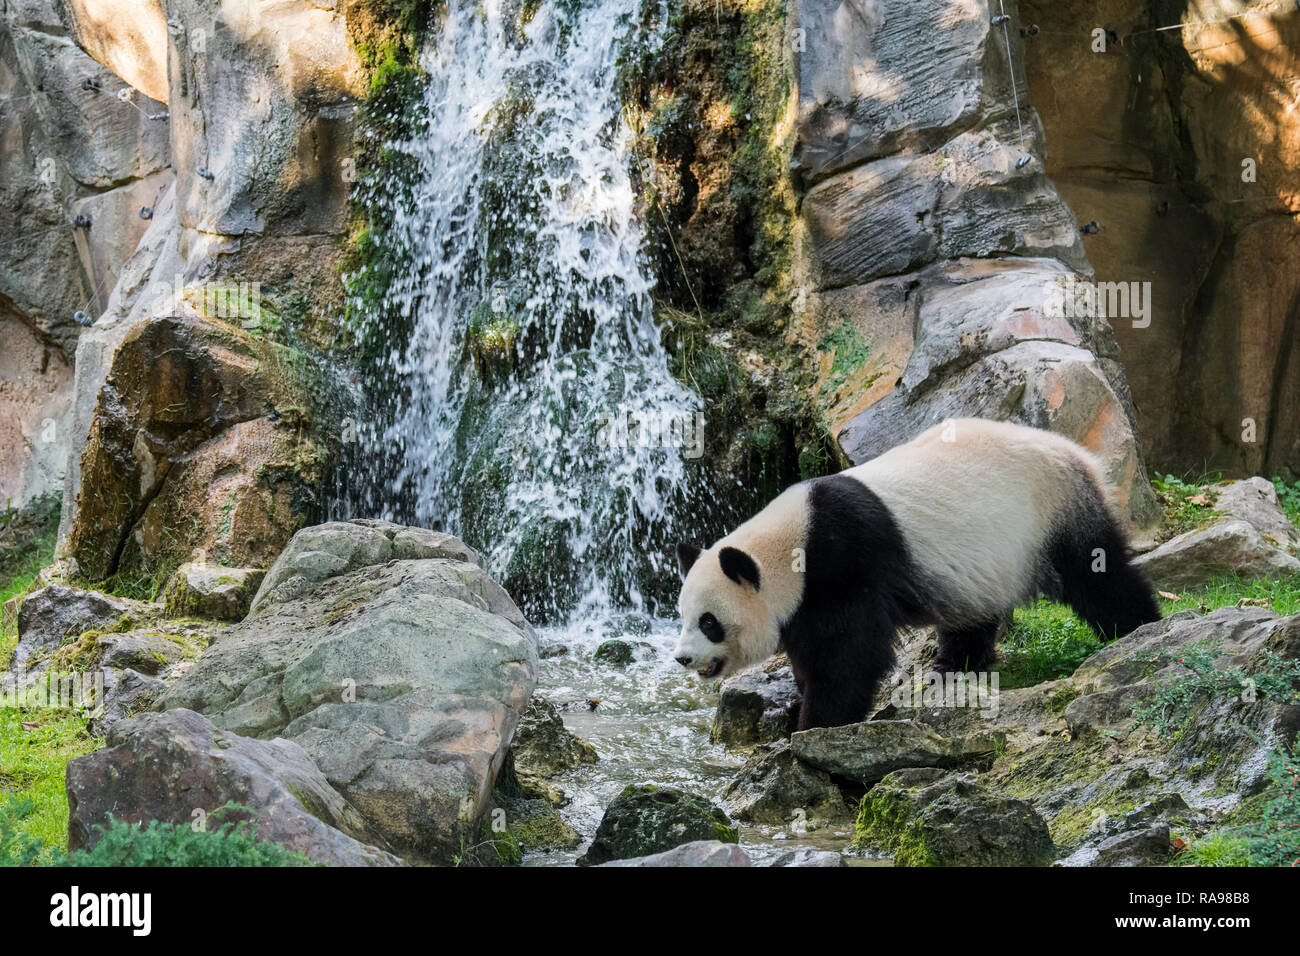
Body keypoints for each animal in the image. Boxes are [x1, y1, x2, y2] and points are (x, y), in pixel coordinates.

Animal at [670, 418, 1159, 733]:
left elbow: (849, 657)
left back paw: (1138, 627)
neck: (789, 543)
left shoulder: (843, 561)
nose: (682, 659)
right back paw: (955, 664)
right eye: (683, 617)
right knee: (974, 610)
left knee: (1096, 576)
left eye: (709, 622)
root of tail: (1078, 453)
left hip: (1051, 508)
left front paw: (814, 725)